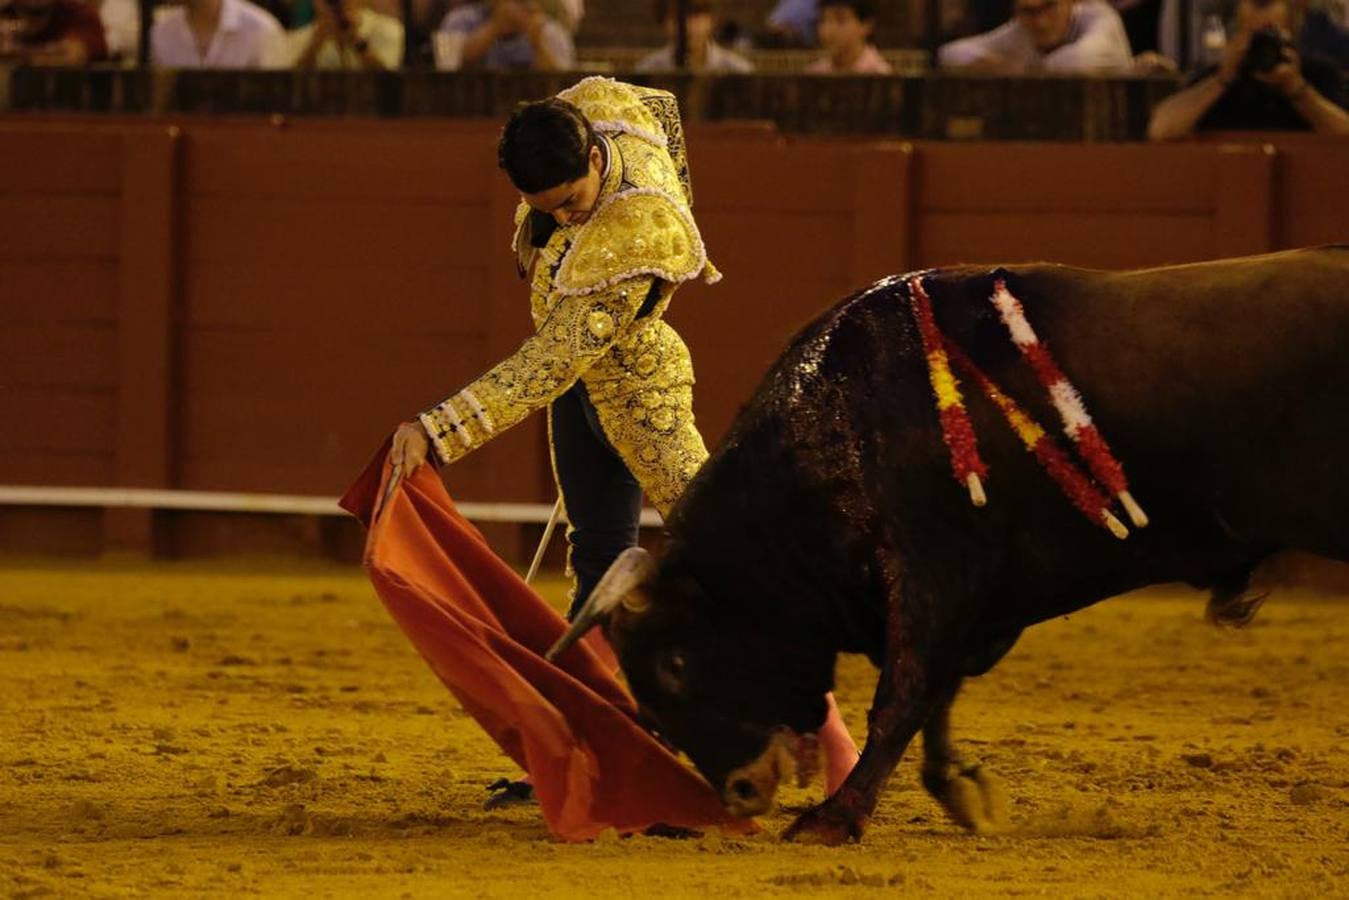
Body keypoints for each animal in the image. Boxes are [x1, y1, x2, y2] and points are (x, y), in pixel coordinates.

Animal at [547, 246, 1349, 847]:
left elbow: (903, 695)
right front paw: (960, 791)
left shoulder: (933, 571)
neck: (836, 424)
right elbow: (937, 694)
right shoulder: (963, 600)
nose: (739, 793)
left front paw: (833, 818)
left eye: (676, 664)